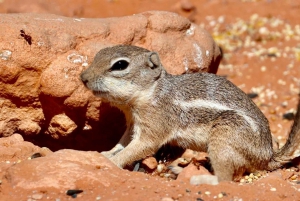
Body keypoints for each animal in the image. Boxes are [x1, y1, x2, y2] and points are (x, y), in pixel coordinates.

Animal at [80, 44, 300, 181]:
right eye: (99, 54)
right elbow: (121, 144)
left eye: (120, 65)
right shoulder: (132, 124)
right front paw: (103, 153)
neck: (151, 91)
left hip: (224, 137)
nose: (83, 77)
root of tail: (268, 156)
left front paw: (111, 162)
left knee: (226, 178)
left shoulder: (154, 126)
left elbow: (137, 148)